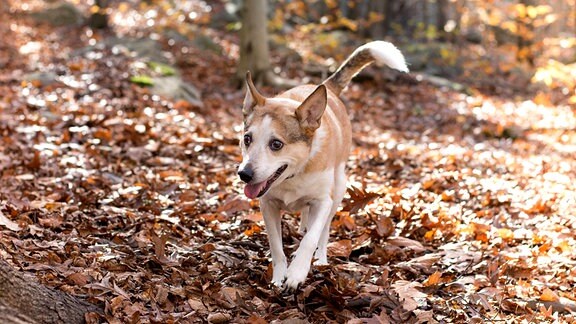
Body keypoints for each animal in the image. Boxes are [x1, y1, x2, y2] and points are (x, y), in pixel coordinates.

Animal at [236, 41, 408, 292]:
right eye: (247, 139)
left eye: (276, 144)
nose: (244, 174)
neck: (294, 174)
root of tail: (326, 87)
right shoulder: (267, 204)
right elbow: (276, 245)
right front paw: (279, 276)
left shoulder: (322, 201)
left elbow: (311, 239)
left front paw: (297, 272)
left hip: (339, 187)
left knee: (324, 230)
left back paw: (320, 258)